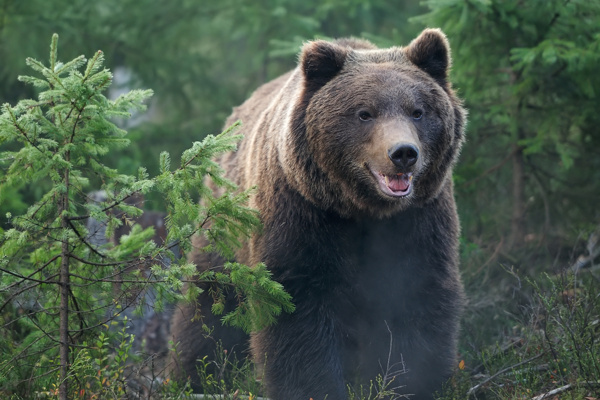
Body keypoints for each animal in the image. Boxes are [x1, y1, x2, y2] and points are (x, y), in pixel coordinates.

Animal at [171, 28, 466, 400]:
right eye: (364, 113)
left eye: (418, 111)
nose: (403, 153)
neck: (362, 209)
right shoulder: (301, 212)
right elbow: (297, 307)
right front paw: (315, 387)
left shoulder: (419, 218)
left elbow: (417, 295)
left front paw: (410, 383)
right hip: (224, 227)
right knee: (208, 302)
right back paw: (192, 376)